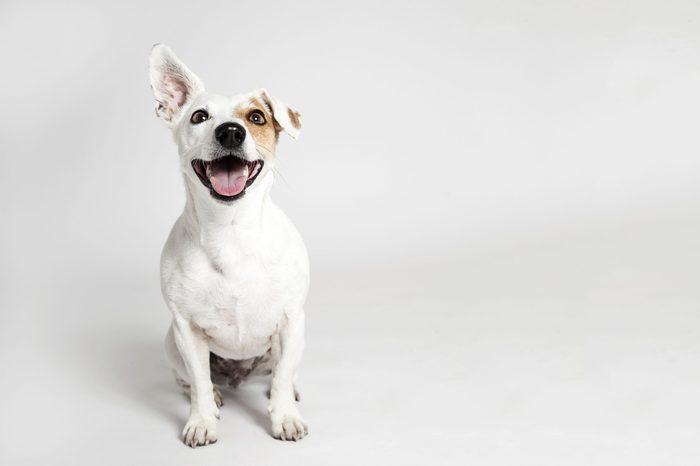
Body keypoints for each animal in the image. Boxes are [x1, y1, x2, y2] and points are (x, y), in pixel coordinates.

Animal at [149, 44, 308, 448]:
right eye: (199, 116)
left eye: (256, 117)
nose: (231, 132)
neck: (230, 231)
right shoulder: (186, 329)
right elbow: (200, 384)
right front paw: (202, 420)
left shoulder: (291, 321)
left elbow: (281, 379)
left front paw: (285, 417)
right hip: (170, 343)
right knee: (190, 380)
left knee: (281, 371)